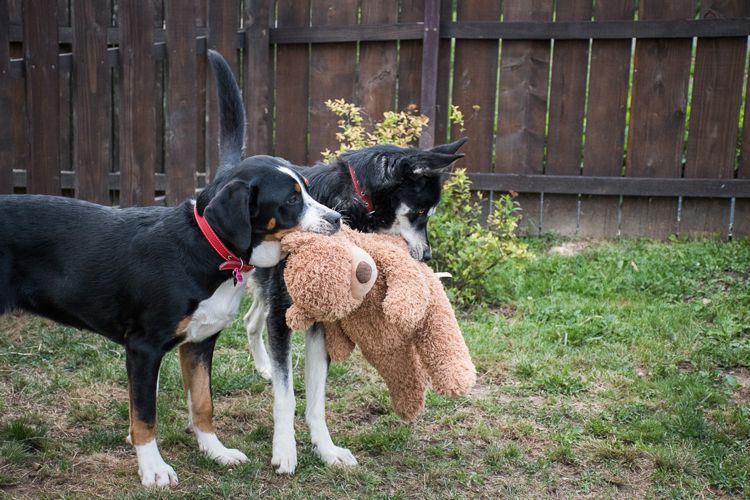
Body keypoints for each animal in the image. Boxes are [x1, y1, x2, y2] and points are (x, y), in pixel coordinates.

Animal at [0, 51, 340, 488]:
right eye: (291, 201)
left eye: (309, 190)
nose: (337, 220)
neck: (207, 252)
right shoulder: (143, 347)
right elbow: (145, 415)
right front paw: (154, 469)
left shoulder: (199, 342)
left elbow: (203, 403)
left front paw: (216, 451)